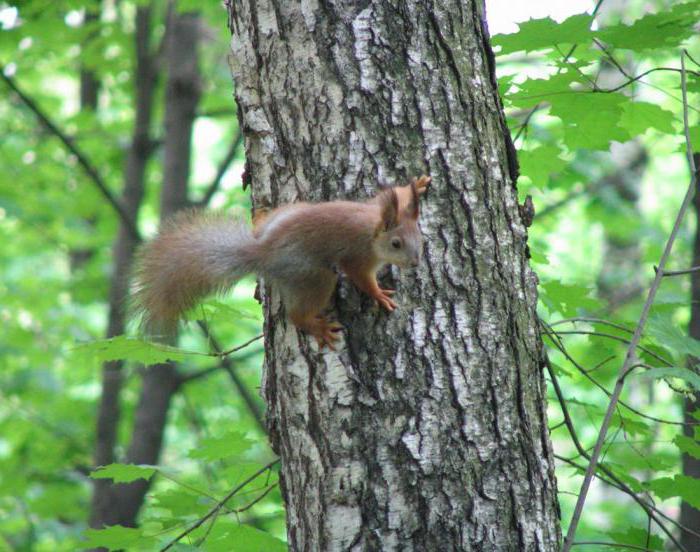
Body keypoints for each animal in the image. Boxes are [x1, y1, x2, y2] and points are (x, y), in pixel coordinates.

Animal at [129, 175, 430, 348]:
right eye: (396, 244)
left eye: (421, 237)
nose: (416, 263)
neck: (373, 228)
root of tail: (264, 252)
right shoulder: (358, 257)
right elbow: (362, 279)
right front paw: (379, 295)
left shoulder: (373, 206)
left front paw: (416, 184)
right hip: (314, 276)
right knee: (297, 314)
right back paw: (318, 327)